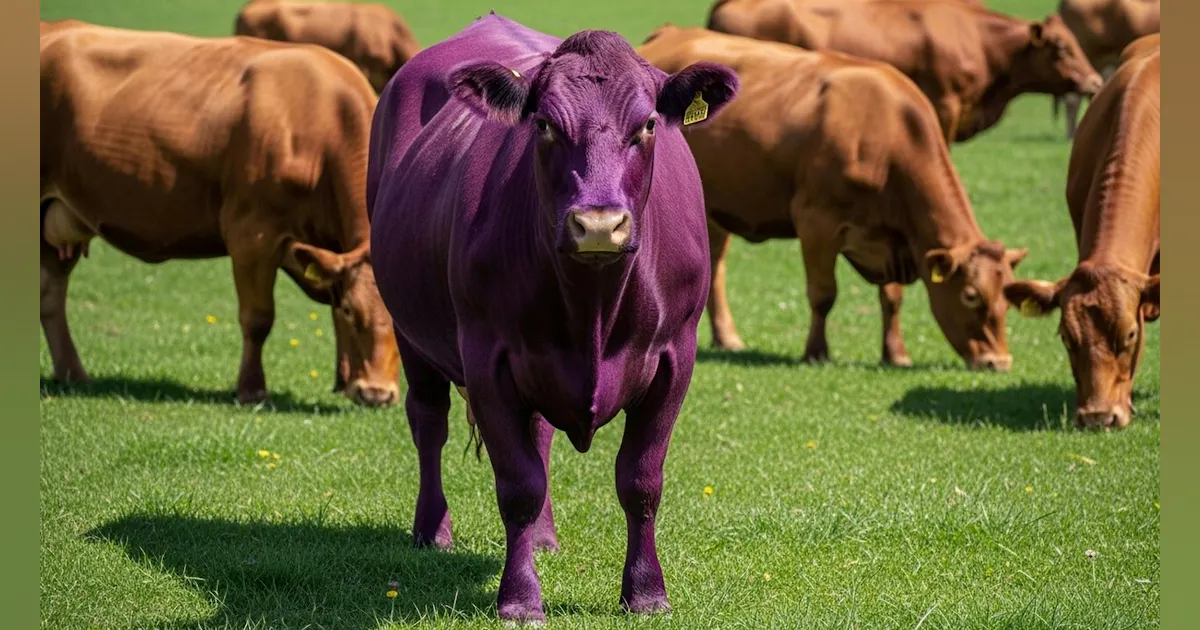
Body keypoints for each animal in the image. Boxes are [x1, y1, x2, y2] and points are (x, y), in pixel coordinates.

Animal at [40, 20, 400, 407]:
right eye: (353, 310)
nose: (377, 394)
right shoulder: (252, 234)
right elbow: (258, 318)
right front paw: (251, 389)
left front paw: (343, 380)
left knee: (51, 295)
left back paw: (72, 374)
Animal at [366, 12, 738, 622]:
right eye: (543, 125)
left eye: (647, 125)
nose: (598, 225)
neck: (592, 307)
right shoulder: (486, 357)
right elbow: (517, 484)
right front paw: (519, 599)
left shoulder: (675, 357)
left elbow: (640, 480)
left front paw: (646, 592)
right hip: (410, 331)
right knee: (428, 421)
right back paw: (432, 530)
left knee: (537, 436)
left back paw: (542, 539)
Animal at [638, 25, 1027, 370]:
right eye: (970, 295)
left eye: (1007, 298)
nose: (998, 362)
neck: (886, 134)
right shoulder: (816, 222)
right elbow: (823, 294)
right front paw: (816, 352)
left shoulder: (893, 237)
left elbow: (892, 297)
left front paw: (895, 354)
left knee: (715, 266)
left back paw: (728, 337)